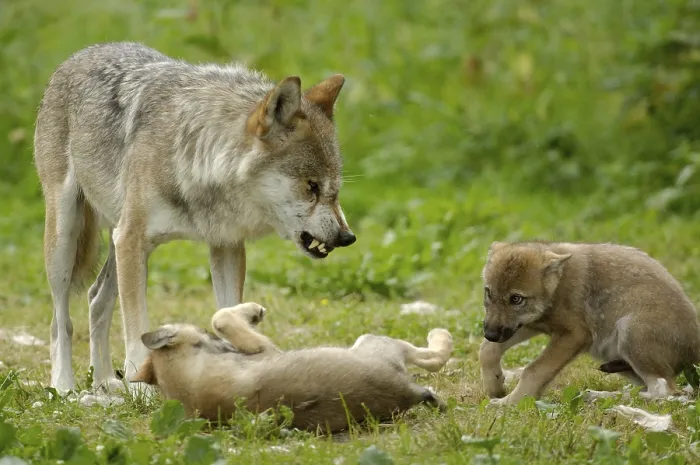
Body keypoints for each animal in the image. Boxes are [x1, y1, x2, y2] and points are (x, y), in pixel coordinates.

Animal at [33, 42, 356, 394]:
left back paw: (105, 382)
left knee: (95, 299)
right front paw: (142, 390)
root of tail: (84, 52)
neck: (198, 155)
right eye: (311, 186)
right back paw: (64, 387)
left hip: (118, 247)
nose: (347, 237)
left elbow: (227, 308)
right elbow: (135, 330)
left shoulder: (226, 245)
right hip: (67, 241)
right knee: (60, 321)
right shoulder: (132, 239)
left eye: (335, 190)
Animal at [130, 302, 453, 432]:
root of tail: (409, 392)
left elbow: (220, 318)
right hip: (376, 341)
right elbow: (220, 317)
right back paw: (441, 334)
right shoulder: (264, 348)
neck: (185, 382)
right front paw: (252, 311)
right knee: (431, 356)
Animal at [479, 241, 700, 405]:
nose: (490, 333)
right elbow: (487, 350)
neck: (558, 287)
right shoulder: (528, 326)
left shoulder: (573, 335)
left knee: (665, 391)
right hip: (613, 353)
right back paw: (596, 395)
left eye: (516, 299)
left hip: (629, 332)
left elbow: (533, 369)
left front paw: (510, 402)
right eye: (488, 292)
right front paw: (495, 386)